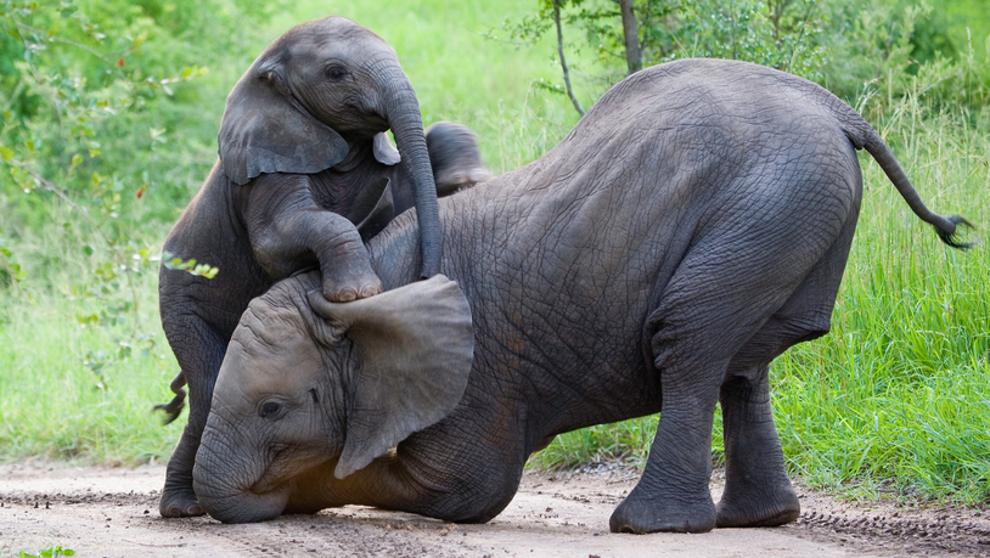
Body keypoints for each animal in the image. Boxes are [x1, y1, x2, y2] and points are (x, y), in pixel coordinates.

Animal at [155, 16, 489, 518]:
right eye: (335, 72)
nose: (428, 274)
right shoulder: (266, 168)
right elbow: (278, 243)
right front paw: (356, 293)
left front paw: (468, 180)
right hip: (179, 302)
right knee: (208, 387)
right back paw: (183, 508)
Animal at [190, 59, 970, 532]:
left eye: (273, 408)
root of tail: (835, 107)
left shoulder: (477, 377)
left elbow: (464, 489)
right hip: (789, 215)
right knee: (743, 366)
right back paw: (758, 522)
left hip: (766, 208)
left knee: (689, 341)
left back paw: (648, 526)